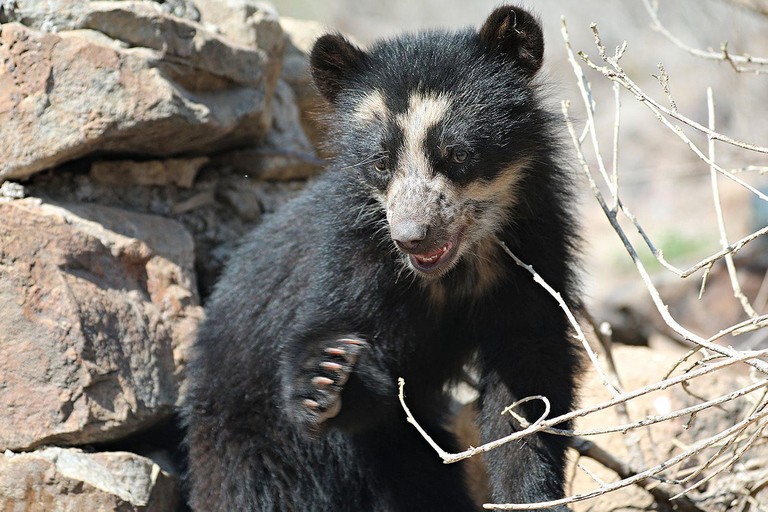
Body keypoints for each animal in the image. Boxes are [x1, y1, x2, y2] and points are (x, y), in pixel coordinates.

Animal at [186, 5, 584, 512]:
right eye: (380, 162)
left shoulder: (532, 248)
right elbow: (337, 339)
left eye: (457, 154)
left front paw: (532, 494)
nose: (411, 238)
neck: (454, 268)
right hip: (250, 447)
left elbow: (528, 377)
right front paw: (325, 378)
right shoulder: (352, 257)